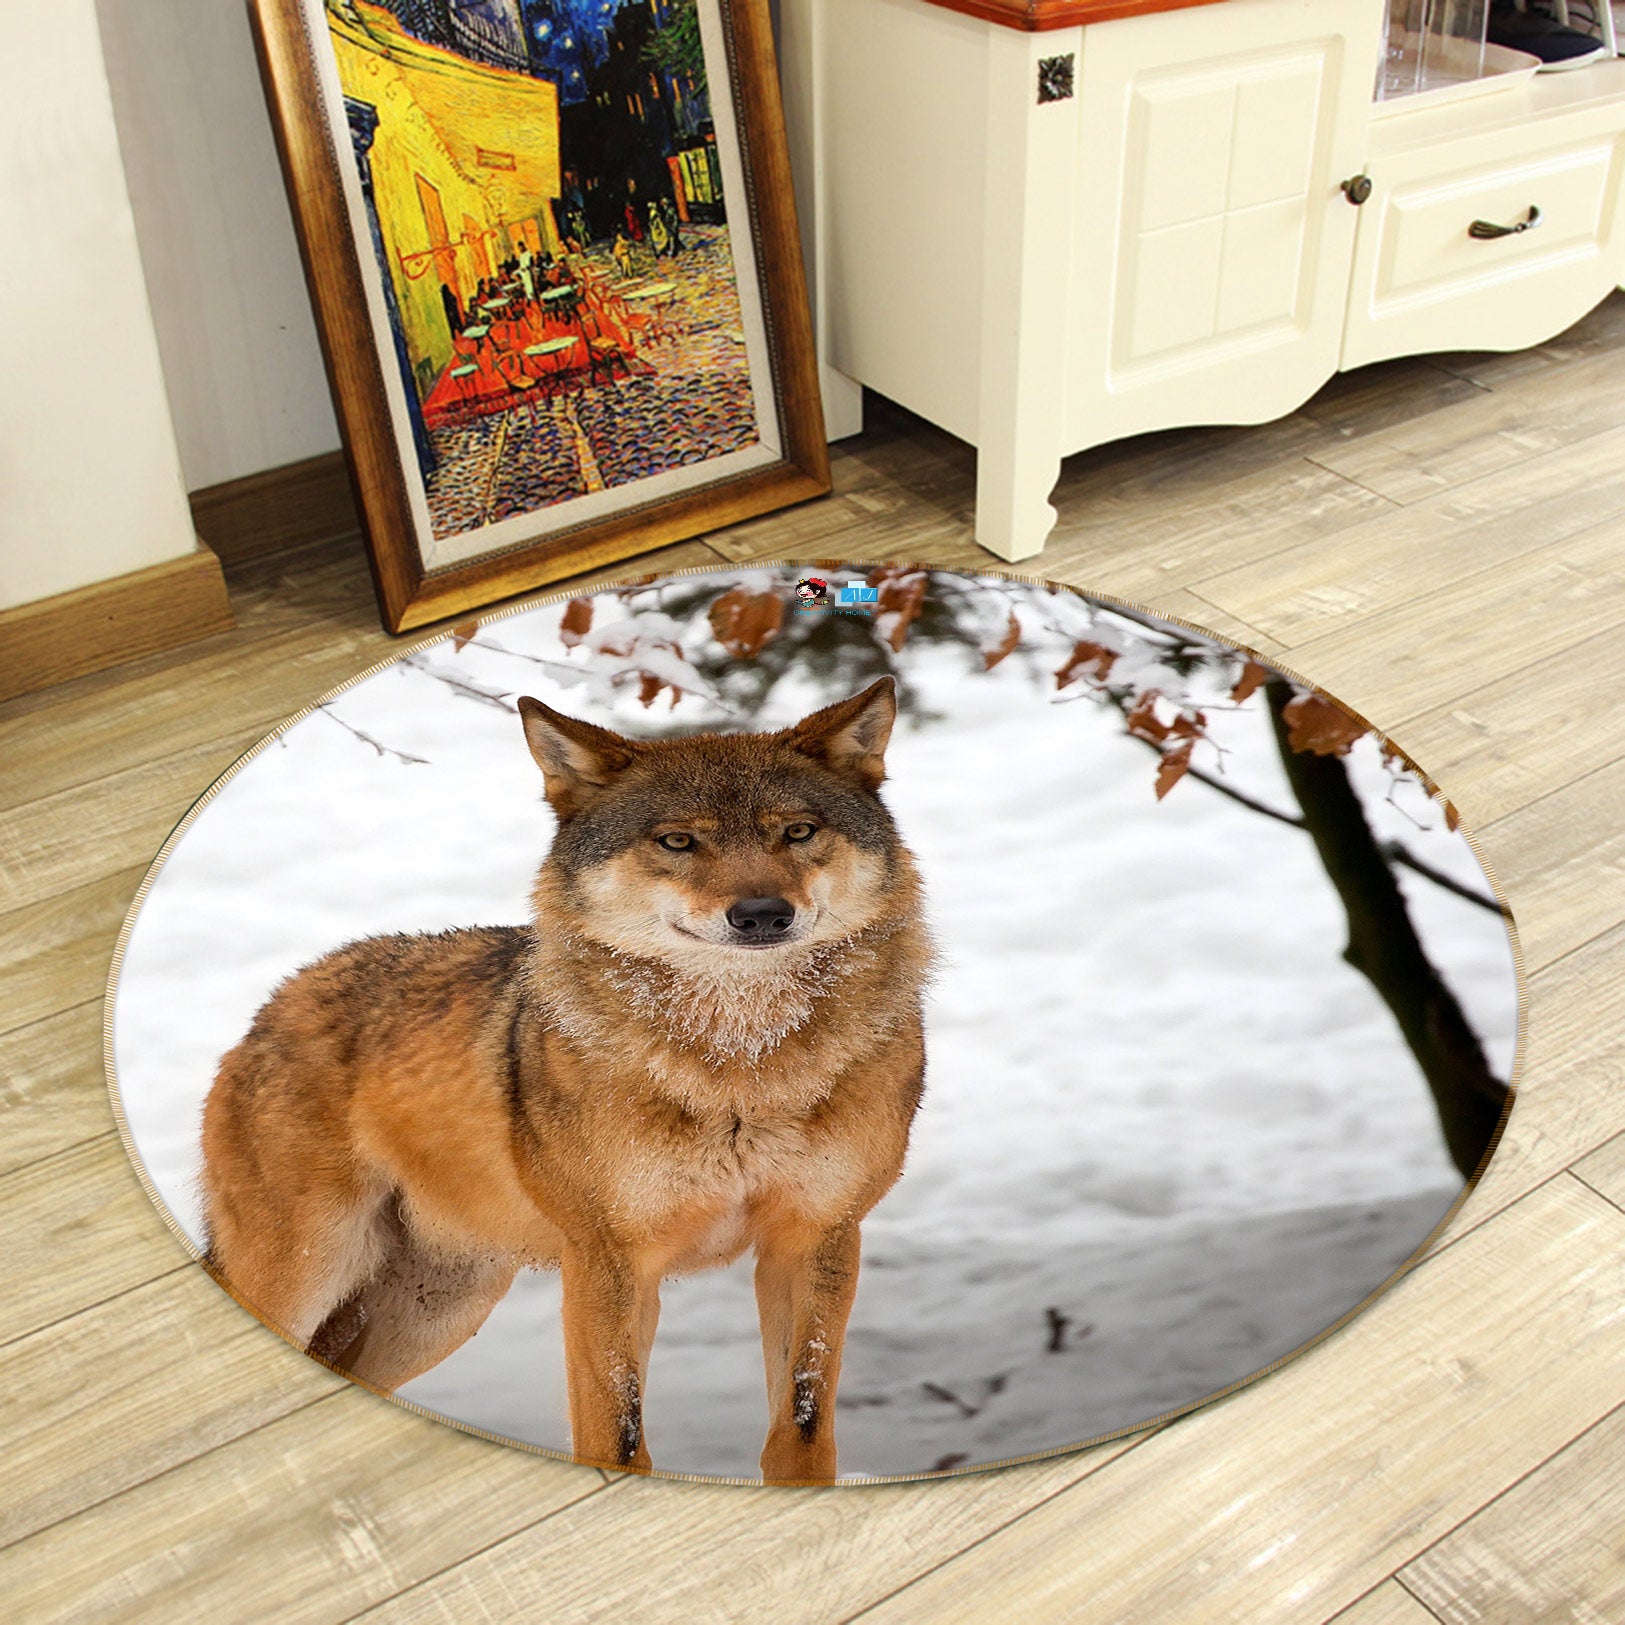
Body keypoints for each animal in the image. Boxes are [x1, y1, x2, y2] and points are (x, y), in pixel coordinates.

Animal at [200, 676, 931, 1483]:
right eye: (678, 841)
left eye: (797, 832)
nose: (762, 914)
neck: (741, 1066)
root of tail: (272, 1006)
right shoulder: (608, 1262)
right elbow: (617, 1432)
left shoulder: (817, 1237)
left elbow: (800, 1425)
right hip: (311, 1274)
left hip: (437, 1309)